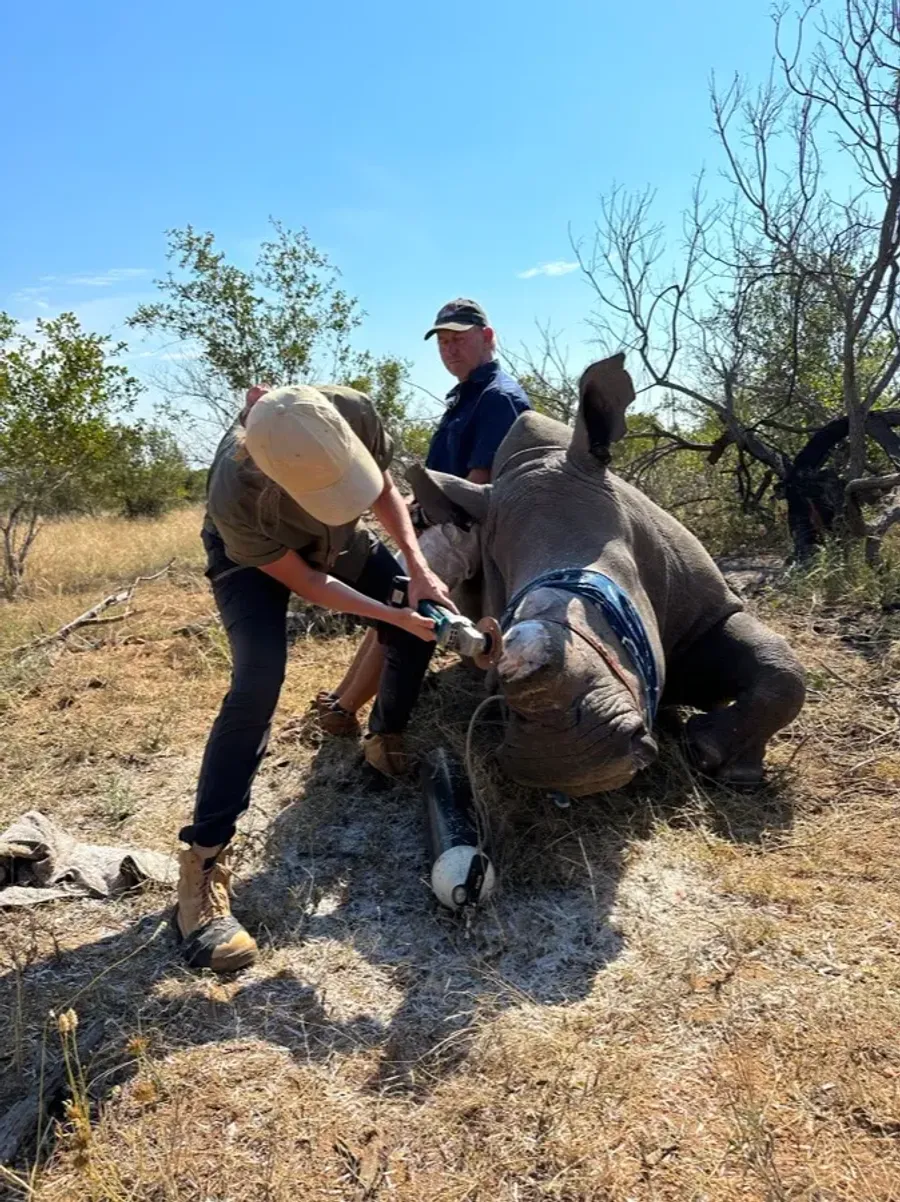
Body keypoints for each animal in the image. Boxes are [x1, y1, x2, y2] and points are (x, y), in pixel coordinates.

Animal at [408, 354, 806, 798]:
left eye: (610, 598)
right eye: (503, 608)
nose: (566, 760)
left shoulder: (711, 610)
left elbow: (783, 667)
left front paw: (718, 759)